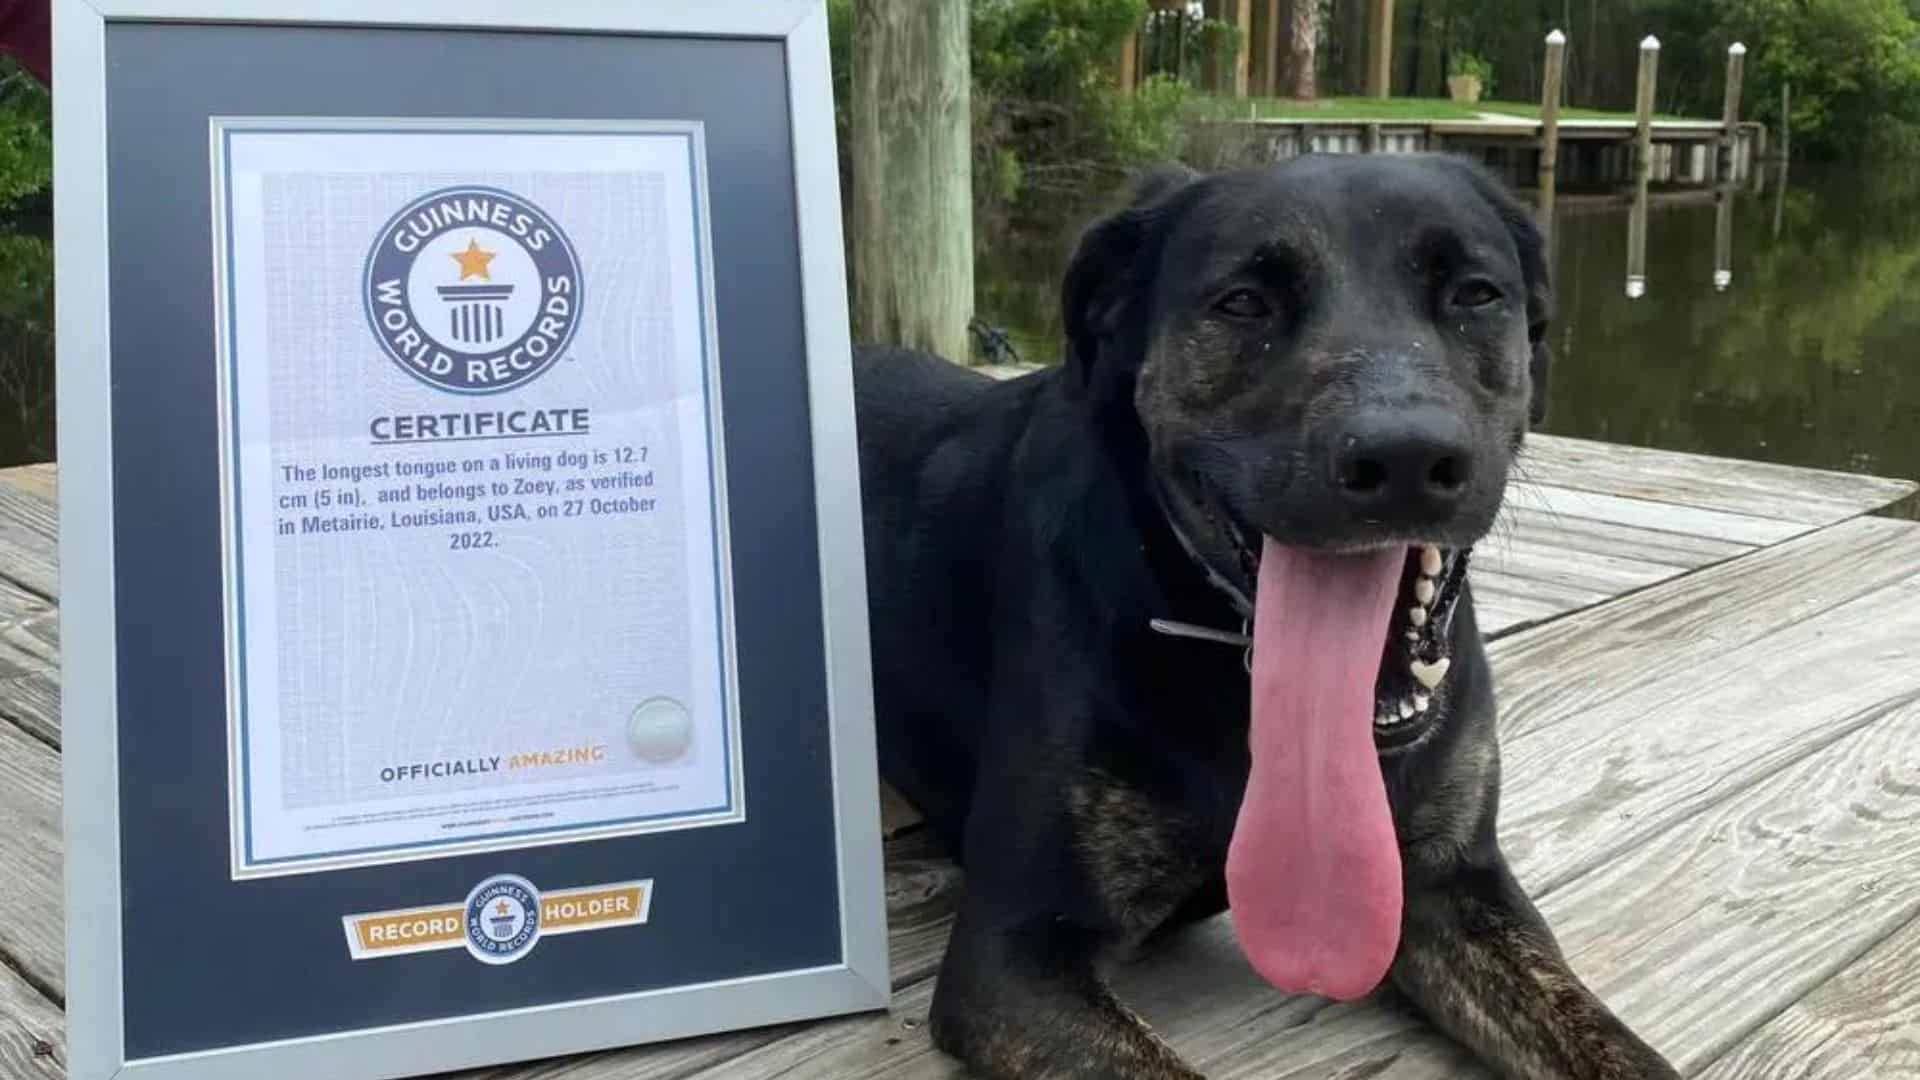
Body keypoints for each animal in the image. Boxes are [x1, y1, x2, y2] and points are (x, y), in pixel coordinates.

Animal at [856, 153, 1681, 1076]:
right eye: (1244, 302)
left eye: (1475, 293)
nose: (1403, 458)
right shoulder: (1017, 949)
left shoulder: (1452, 881)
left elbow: (1616, 1050)